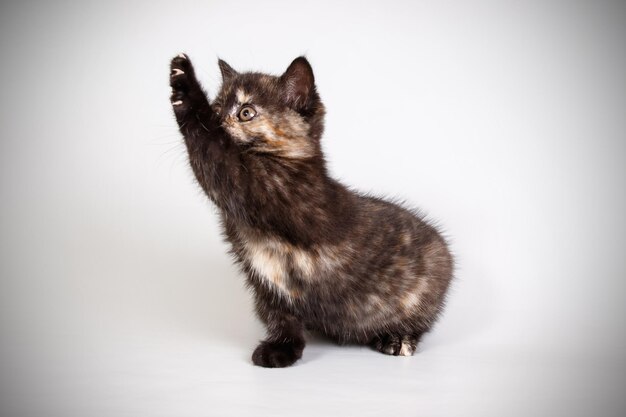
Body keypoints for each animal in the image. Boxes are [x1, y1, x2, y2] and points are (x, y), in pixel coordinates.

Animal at [169, 52, 454, 368]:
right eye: (218, 107)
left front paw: (182, 81)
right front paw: (281, 348)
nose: (219, 118)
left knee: (420, 322)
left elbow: (211, 148)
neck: (291, 162)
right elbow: (280, 318)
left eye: (246, 112)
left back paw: (399, 337)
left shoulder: (257, 187)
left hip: (432, 274)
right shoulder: (267, 288)